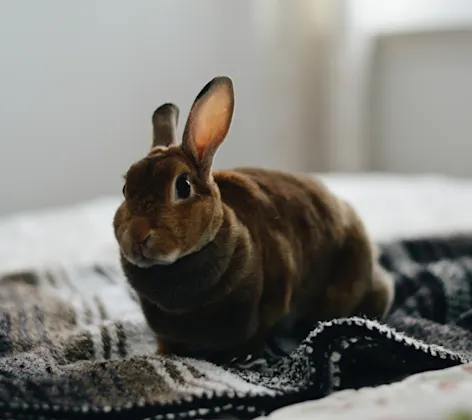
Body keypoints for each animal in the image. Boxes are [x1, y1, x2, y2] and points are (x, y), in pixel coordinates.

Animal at [113, 76, 394, 364]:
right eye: (125, 189)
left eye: (183, 185)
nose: (137, 236)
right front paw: (162, 354)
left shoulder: (269, 301)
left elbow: (254, 334)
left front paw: (238, 358)